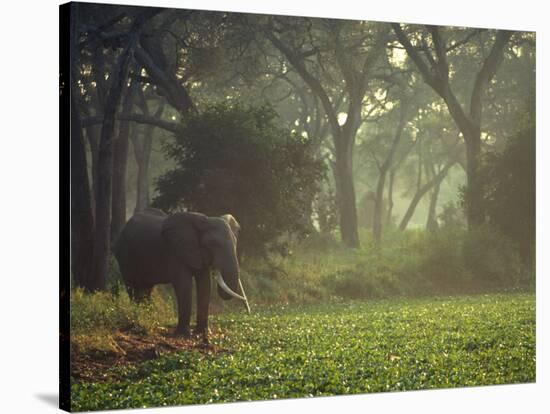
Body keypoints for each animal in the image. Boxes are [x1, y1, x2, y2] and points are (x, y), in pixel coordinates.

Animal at [113, 209, 250, 338]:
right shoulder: (176, 251)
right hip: (124, 257)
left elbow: (205, 284)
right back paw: (138, 319)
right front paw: (184, 335)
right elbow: (184, 284)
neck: (205, 220)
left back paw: (147, 318)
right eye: (212, 244)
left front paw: (203, 333)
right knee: (132, 287)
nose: (248, 312)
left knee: (146, 289)